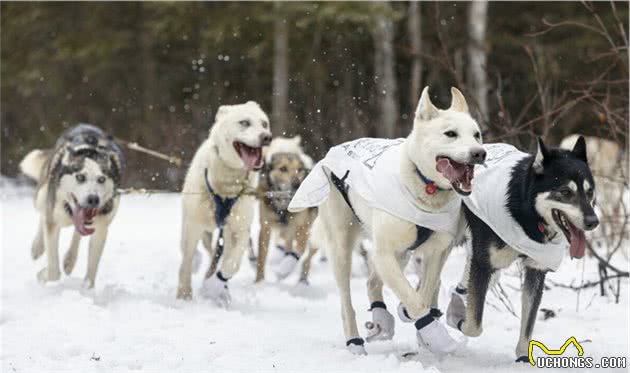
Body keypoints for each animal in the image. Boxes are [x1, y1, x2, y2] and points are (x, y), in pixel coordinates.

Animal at [19, 125, 125, 288]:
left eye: (101, 179)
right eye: (80, 177)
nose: (93, 199)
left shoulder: (101, 229)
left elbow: (91, 270)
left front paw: (86, 289)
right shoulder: (53, 221)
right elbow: (53, 270)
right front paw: (43, 274)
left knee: (78, 233)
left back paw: (70, 259)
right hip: (42, 195)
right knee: (43, 214)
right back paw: (38, 246)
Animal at [180, 100, 274, 304]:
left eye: (264, 124)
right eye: (245, 122)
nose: (267, 137)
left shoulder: (240, 229)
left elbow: (233, 264)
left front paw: (216, 284)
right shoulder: (193, 225)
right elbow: (186, 261)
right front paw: (183, 294)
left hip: (227, 232)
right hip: (198, 226)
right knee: (195, 252)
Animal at [254, 137, 318, 282]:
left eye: (299, 169)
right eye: (283, 168)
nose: (297, 184)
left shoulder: (303, 227)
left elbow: (299, 250)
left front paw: (285, 268)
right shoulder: (265, 227)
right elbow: (261, 258)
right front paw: (259, 282)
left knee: (307, 258)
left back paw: (302, 281)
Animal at [288, 87, 486, 354]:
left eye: (477, 135)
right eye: (451, 134)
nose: (479, 153)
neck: (424, 185)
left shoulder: (437, 252)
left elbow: (425, 291)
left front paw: (416, 318)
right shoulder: (384, 255)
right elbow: (414, 299)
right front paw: (435, 335)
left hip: (400, 255)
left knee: (373, 282)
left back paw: (382, 320)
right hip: (342, 248)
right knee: (347, 302)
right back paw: (355, 341)